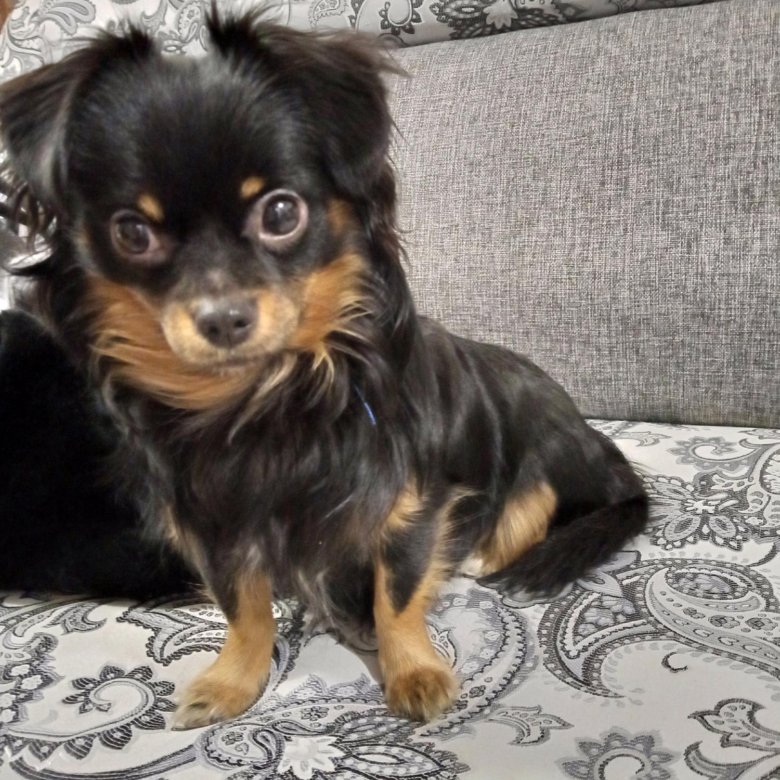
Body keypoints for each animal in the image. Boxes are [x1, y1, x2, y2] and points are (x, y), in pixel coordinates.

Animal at [0, 13, 648, 728]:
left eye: (281, 212)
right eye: (132, 233)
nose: (223, 318)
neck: (264, 397)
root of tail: (602, 452)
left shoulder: (408, 502)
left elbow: (397, 594)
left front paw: (413, 671)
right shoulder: (215, 522)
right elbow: (244, 607)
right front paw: (234, 679)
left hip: (536, 447)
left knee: (531, 505)